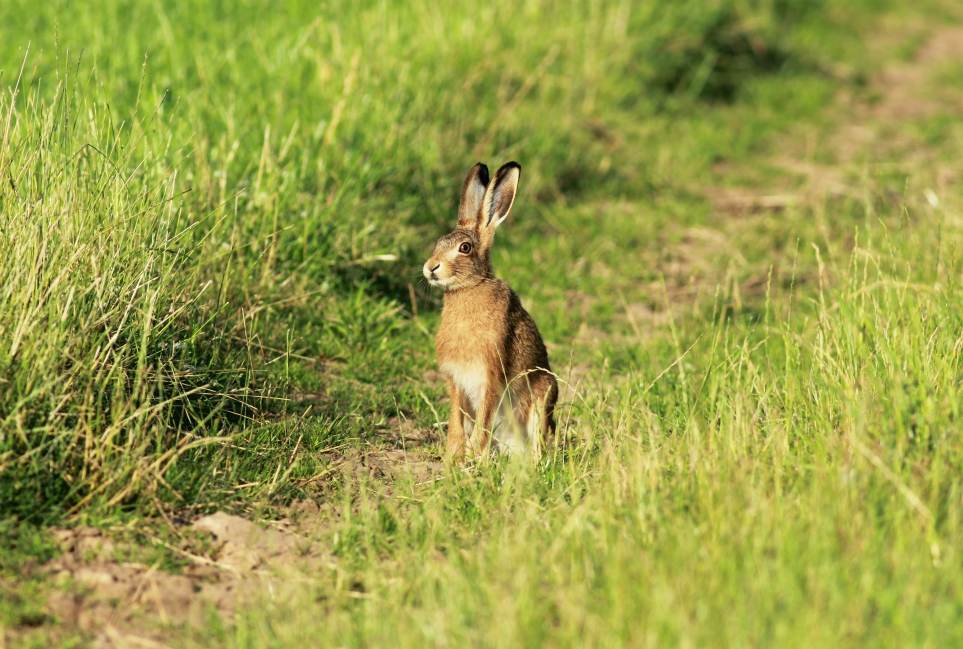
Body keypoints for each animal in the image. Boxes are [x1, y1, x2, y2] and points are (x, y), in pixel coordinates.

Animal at [423, 161, 558, 461]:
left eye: (465, 248)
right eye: (438, 242)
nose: (430, 267)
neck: (470, 286)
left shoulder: (490, 376)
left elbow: (483, 419)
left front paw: (472, 456)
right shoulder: (457, 381)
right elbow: (456, 420)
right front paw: (455, 457)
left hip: (541, 398)